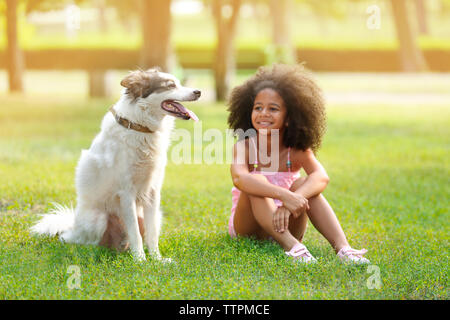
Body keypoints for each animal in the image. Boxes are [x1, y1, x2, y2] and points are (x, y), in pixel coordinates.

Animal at [30, 68, 201, 260]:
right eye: (170, 85)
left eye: (178, 82)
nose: (198, 92)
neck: (140, 127)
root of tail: (72, 228)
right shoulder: (126, 193)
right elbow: (135, 234)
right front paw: (141, 260)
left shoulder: (152, 193)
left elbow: (151, 234)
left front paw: (156, 259)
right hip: (98, 219)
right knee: (83, 242)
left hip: (156, 215)